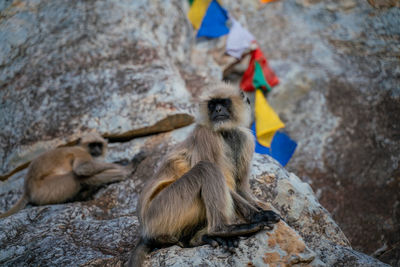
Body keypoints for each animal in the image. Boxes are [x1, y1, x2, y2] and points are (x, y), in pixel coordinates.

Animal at [0, 132, 130, 220]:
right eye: (92, 145)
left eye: (99, 145)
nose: (97, 150)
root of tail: (28, 189)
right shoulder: (82, 153)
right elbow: (82, 169)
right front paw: (121, 167)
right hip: (47, 189)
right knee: (77, 178)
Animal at [130, 82, 280, 266]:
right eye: (212, 104)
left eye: (223, 102)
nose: (218, 110)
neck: (225, 133)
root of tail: (144, 229)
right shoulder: (206, 134)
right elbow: (228, 186)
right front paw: (258, 216)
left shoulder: (244, 138)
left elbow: (240, 188)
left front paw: (260, 211)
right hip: (162, 210)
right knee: (206, 168)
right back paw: (222, 230)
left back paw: (201, 238)